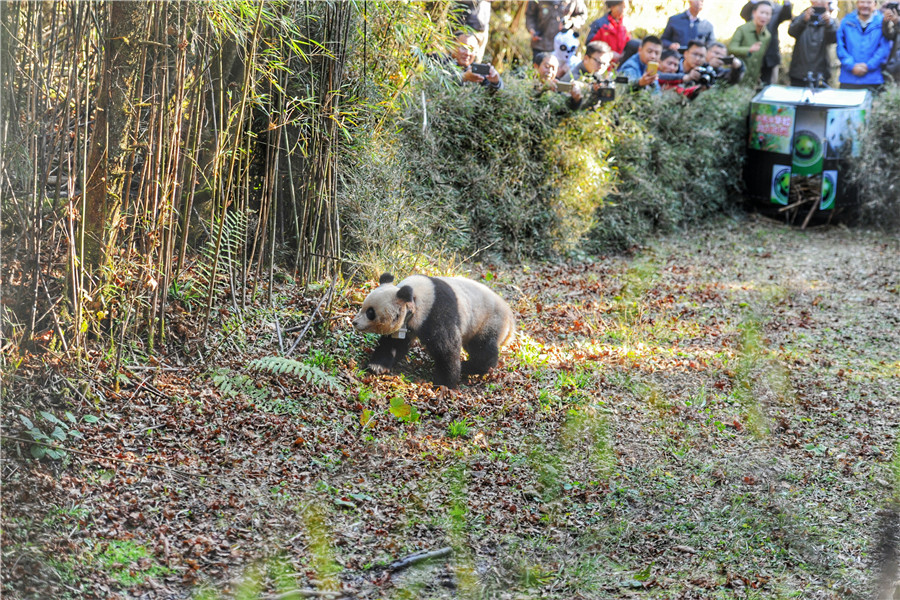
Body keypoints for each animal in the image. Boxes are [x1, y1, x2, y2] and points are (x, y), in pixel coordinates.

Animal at [356, 274, 516, 390]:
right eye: (363, 307)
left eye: (370, 313)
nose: (355, 322)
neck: (414, 298)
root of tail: (510, 318)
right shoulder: (408, 323)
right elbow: (393, 344)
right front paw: (376, 366)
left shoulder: (436, 310)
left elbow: (446, 347)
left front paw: (444, 384)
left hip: (489, 321)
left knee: (483, 348)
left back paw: (469, 366)